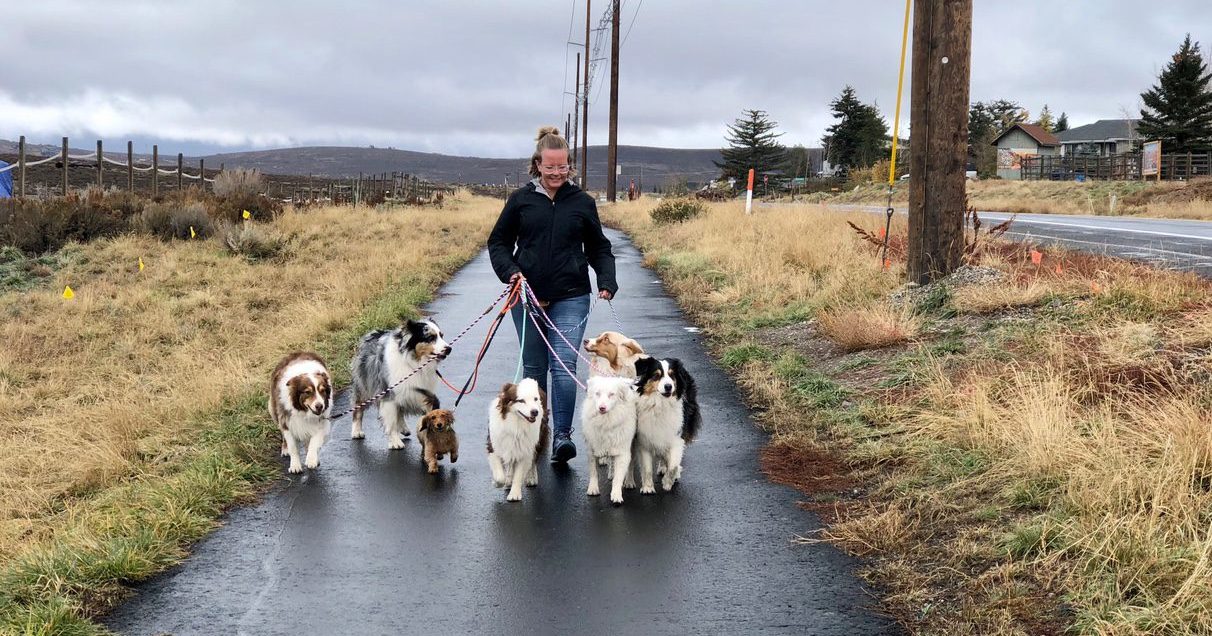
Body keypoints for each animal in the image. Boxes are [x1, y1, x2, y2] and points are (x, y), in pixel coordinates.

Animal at [581, 375, 639, 503]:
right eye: (597, 393)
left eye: (611, 394)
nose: (602, 408)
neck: (606, 421)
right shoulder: (591, 450)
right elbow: (594, 472)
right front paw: (593, 489)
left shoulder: (623, 452)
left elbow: (619, 477)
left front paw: (616, 495)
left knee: (631, 465)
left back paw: (629, 481)